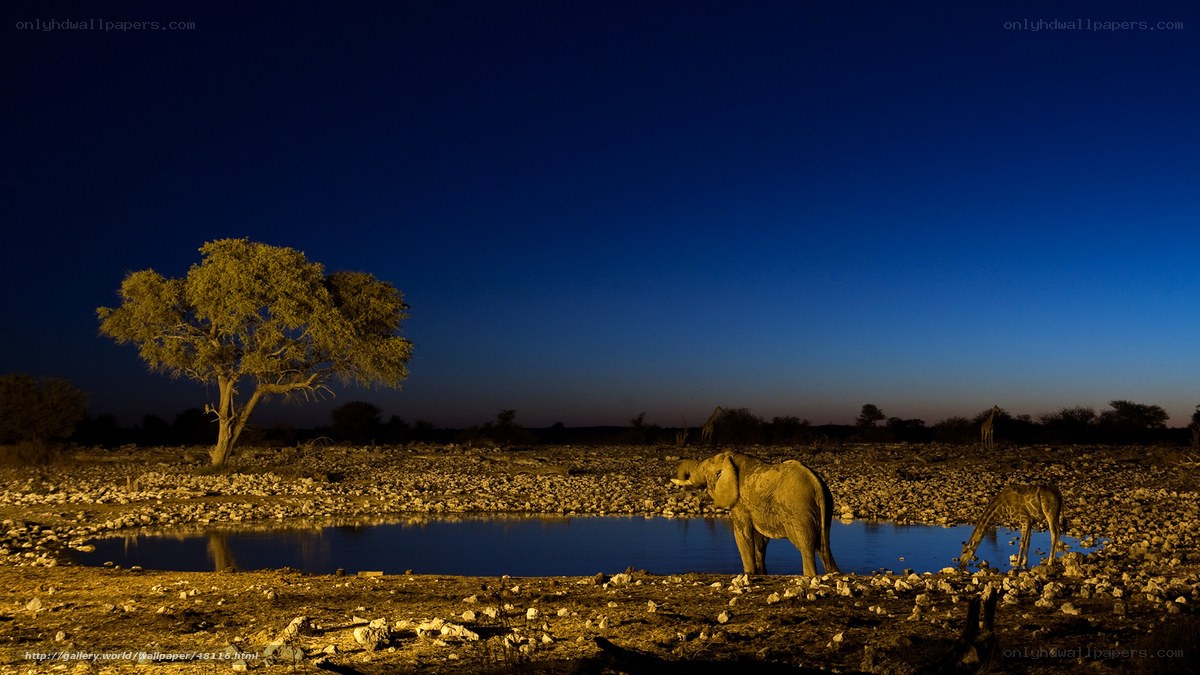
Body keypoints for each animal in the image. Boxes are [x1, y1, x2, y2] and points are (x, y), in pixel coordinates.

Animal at [672, 451, 839, 576]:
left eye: (704, 469)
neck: (729, 458)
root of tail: (817, 485)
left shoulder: (740, 502)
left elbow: (742, 533)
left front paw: (749, 573)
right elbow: (760, 540)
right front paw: (760, 573)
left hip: (799, 510)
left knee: (806, 546)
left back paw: (810, 575)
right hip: (825, 508)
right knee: (824, 547)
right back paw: (834, 573)